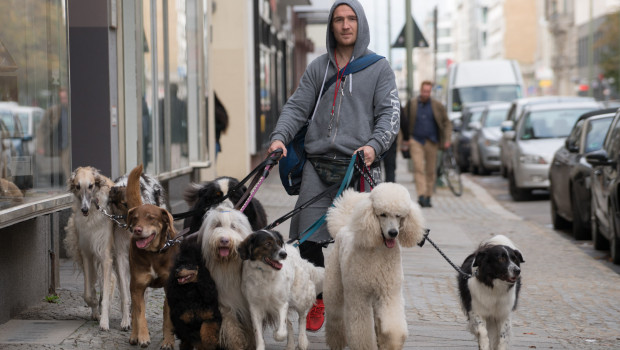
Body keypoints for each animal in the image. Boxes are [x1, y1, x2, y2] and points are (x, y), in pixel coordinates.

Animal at [123, 165, 177, 350]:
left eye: (151, 218)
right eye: (135, 218)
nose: (137, 230)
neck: (153, 254)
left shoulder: (170, 288)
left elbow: (167, 318)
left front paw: (168, 341)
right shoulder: (138, 287)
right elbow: (140, 315)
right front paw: (143, 336)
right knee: (135, 310)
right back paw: (134, 336)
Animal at [200, 204, 256, 348]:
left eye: (233, 227)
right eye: (217, 225)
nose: (224, 240)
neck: (228, 266)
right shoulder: (225, 301)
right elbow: (232, 326)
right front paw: (238, 345)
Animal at [324, 183, 426, 350]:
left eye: (399, 216)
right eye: (382, 214)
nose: (393, 233)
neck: (379, 252)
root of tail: (344, 226)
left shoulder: (389, 292)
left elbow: (393, 328)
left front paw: (391, 343)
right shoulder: (359, 295)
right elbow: (361, 330)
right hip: (335, 284)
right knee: (335, 314)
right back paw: (336, 342)